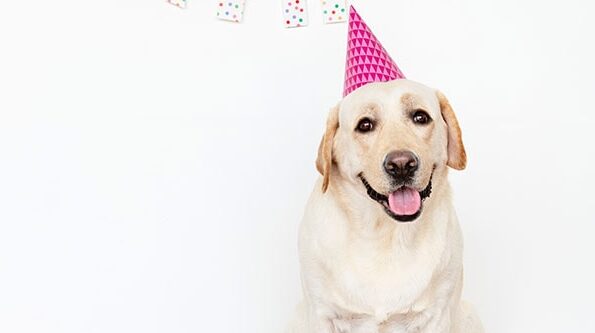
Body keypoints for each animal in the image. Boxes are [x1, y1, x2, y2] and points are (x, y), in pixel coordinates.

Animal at [288, 80, 484, 332]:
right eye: (365, 125)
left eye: (420, 117)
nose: (401, 165)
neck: (384, 235)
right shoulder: (322, 313)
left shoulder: (437, 314)